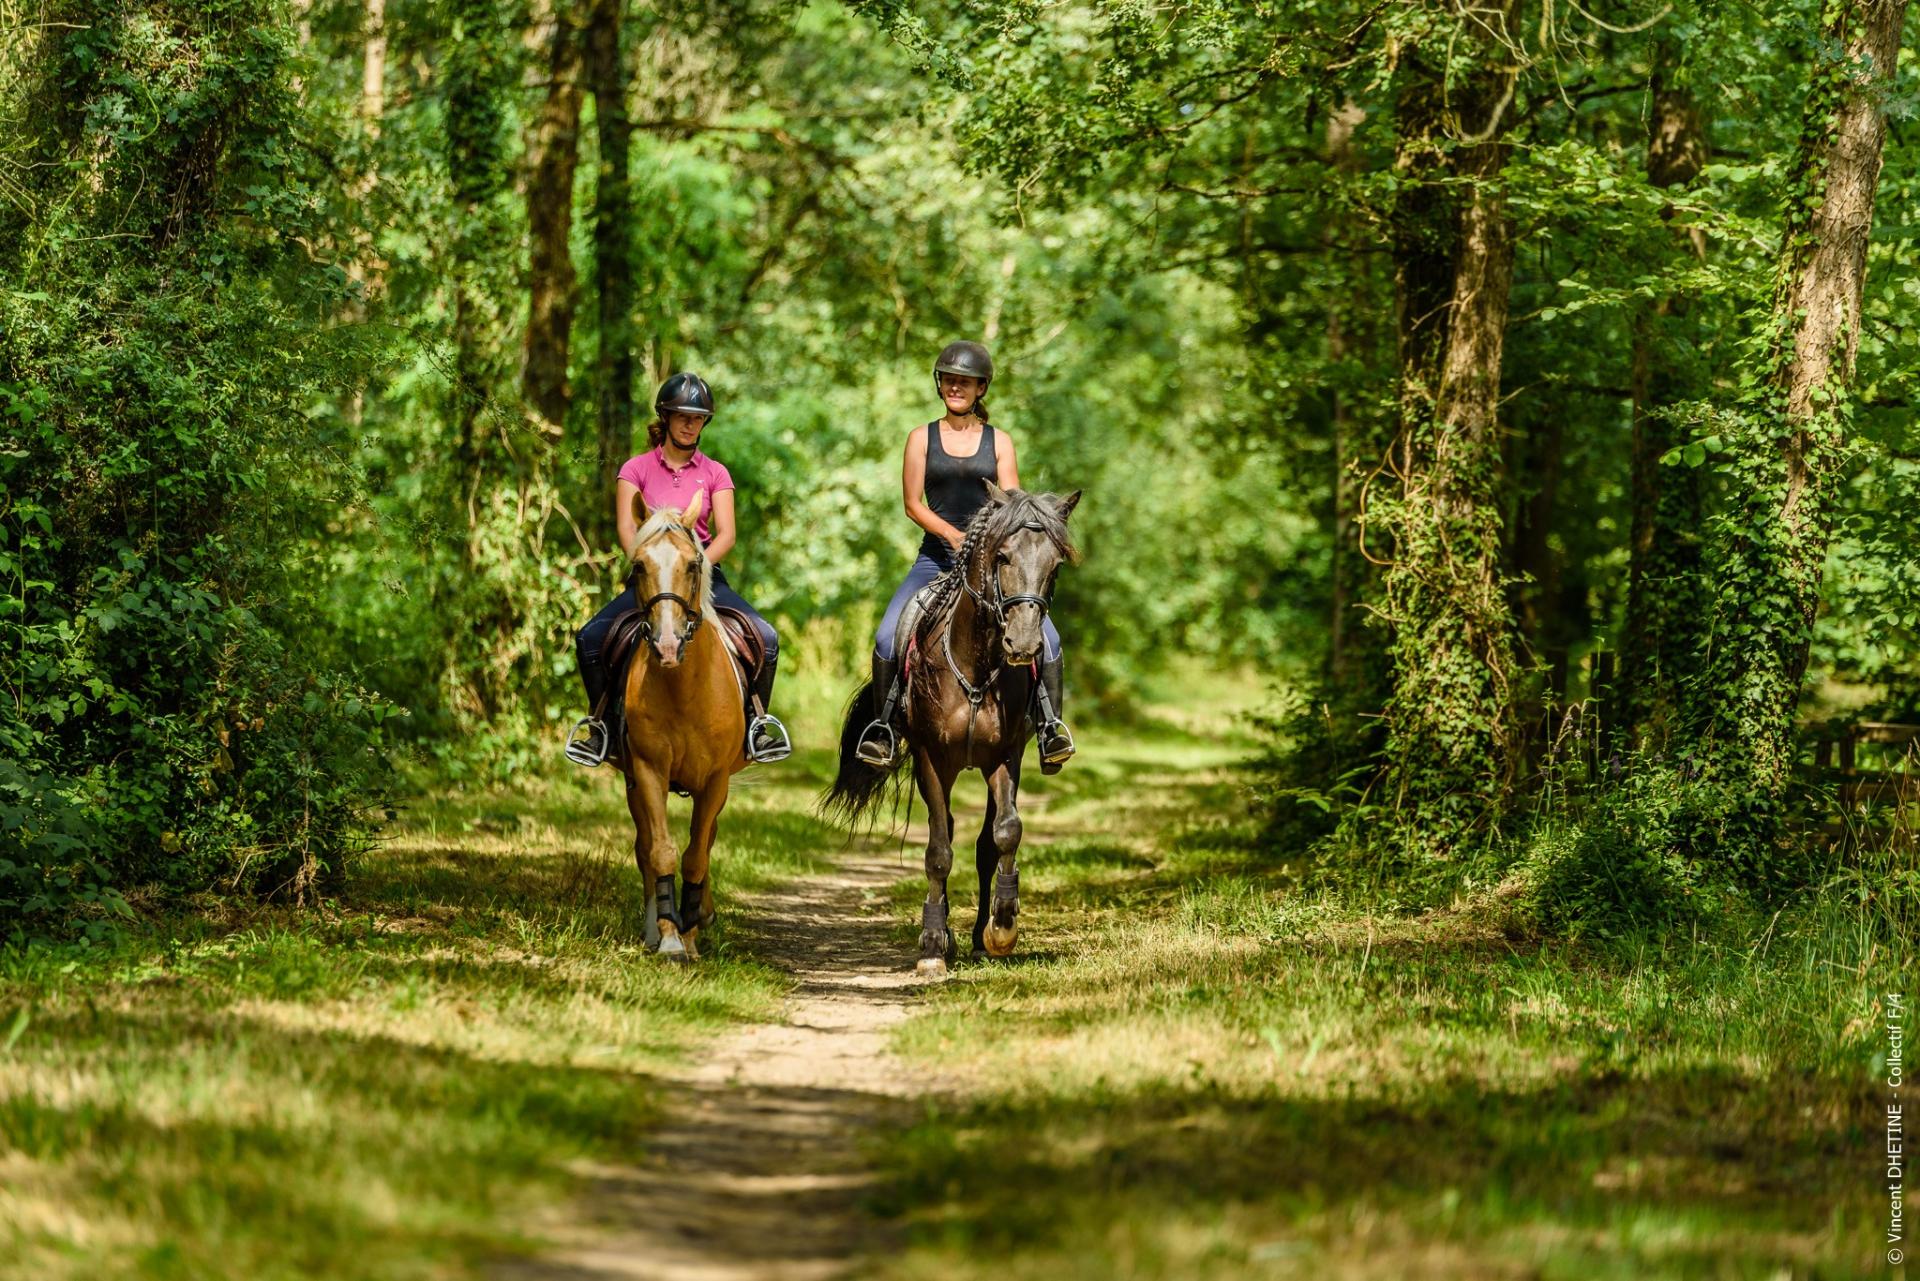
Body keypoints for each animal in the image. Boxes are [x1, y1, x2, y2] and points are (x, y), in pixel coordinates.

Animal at [614, 491, 741, 960]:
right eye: (638, 566)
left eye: (692, 565)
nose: (667, 646)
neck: (682, 687)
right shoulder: (648, 770)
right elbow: (663, 852)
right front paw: (670, 938)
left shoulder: (716, 780)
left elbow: (696, 855)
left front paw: (690, 933)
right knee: (644, 847)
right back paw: (655, 929)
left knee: (706, 839)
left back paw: (701, 914)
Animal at [825, 485, 1082, 975]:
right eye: (1002, 557)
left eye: (1055, 564)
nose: (1023, 644)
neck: (976, 666)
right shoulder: (931, 759)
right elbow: (938, 852)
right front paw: (931, 945)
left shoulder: (1005, 757)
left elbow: (1005, 833)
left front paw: (1002, 928)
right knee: (943, 833)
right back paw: (943, 937)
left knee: (983, 843)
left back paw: (980, 937)